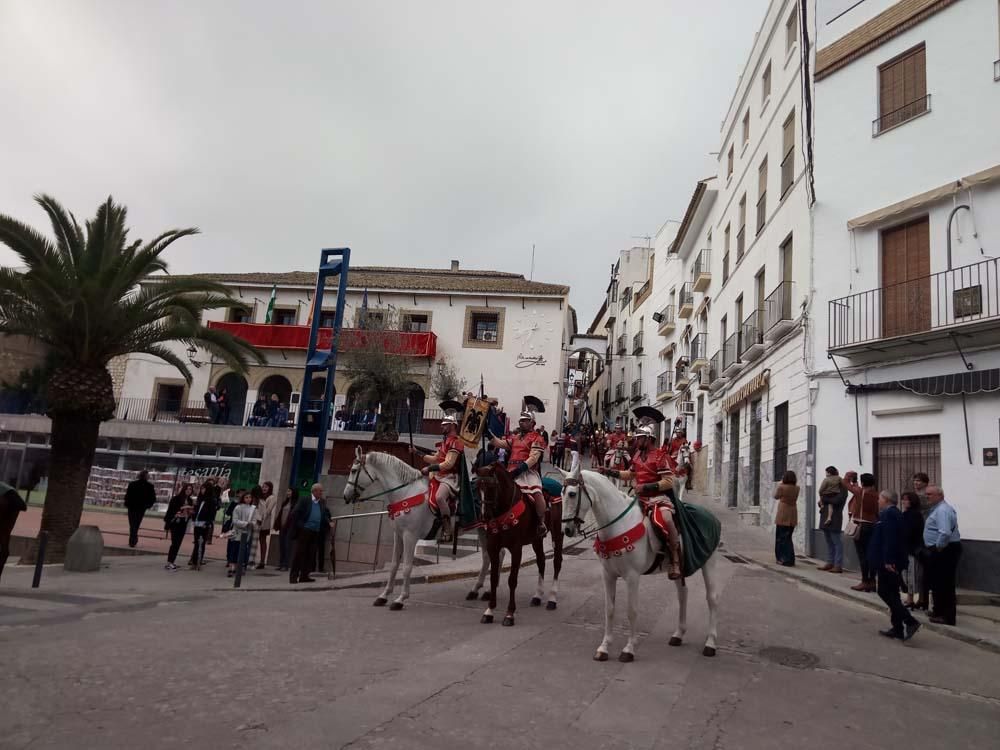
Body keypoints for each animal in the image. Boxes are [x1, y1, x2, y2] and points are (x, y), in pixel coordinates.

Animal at [346, 450, 494, 608]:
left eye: (353, 470)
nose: (345, 496)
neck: (406, 493)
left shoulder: (410, 536)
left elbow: (407, 567)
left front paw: (401, 599)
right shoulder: (398, 535)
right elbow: (394, 566)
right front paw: (384, 595)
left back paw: (488, 592)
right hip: (481, 529)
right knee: (488, 557)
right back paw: (476, 590)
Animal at [470, 458, 560, 628]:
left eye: (492, 487)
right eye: (477, 487)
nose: (484, 517)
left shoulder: (516, 549)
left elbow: (512, 580)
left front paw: (509, 614)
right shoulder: (493, 548)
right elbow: (493, 578)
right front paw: (489, 611)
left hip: (558, 533)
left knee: (557, 562)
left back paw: (552, 598)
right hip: (537, 539)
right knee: (541, 561)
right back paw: (537, 596)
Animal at [564, 458, 720, 664]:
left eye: (572, 494)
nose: (567, 530)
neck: (618, 524)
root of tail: (711, 515)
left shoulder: (632, 576)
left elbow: (632, 611)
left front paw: (629, 649)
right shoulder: (608, 575)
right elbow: (609, 609)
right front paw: (604, 647)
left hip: (709, 562)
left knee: (712, 598)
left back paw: (710, 643)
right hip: (680, 568)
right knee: (682, 594)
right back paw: (678, 634)